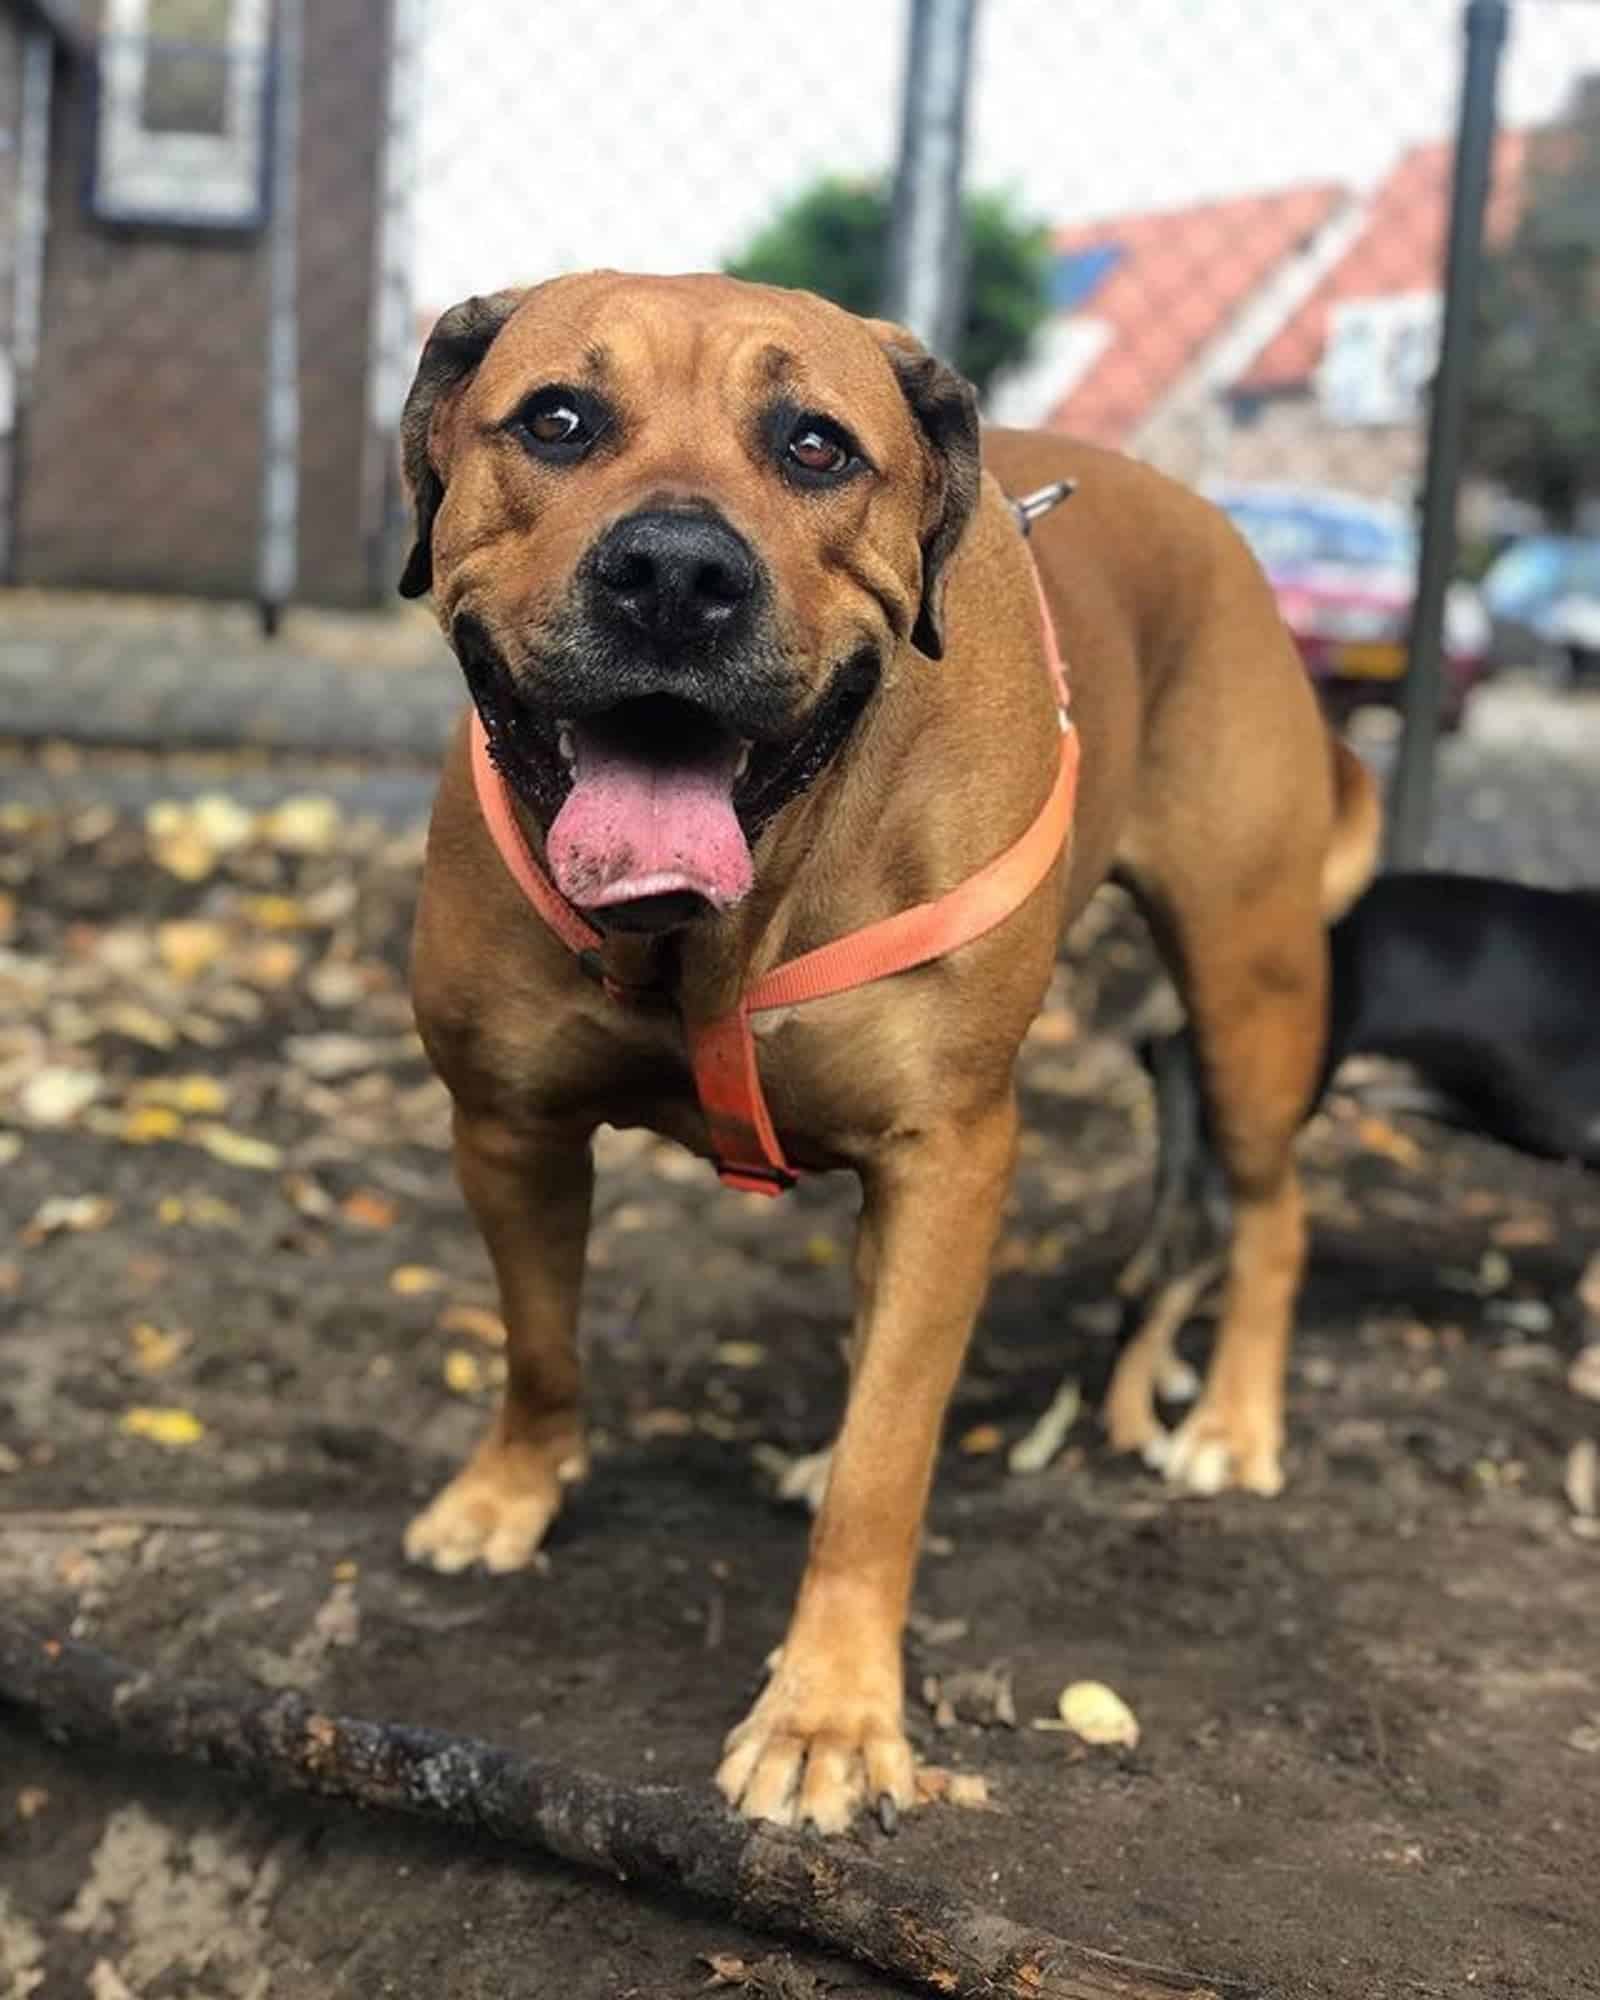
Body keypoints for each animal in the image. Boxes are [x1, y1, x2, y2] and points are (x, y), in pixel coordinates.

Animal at [396, 274, 1376, 1832]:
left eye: (814, 446)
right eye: (556, 419)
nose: (674, 571)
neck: (715, 934)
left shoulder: (949, 1158)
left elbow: (889, 1464)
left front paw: (832, 1716)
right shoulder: (505, 1123)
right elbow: (540, 1340)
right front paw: (511, 1493)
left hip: (1250, 991)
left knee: (1271, 1210)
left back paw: (1232, 1418)